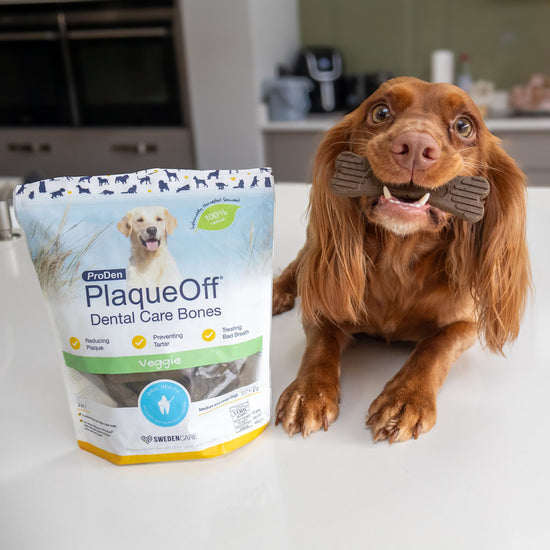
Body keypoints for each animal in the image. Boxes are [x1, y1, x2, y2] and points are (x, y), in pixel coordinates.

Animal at [274, 77, 532, 446]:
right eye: (380, 112)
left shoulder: (465, 323)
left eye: (464, 126)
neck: (399, 256)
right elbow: (320, 345)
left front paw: (406, 397)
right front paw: (309, 391)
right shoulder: (324, 301)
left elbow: (435, 346)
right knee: (296, 267)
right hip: (314, 247)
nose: (414, 145)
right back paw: (276, 293)